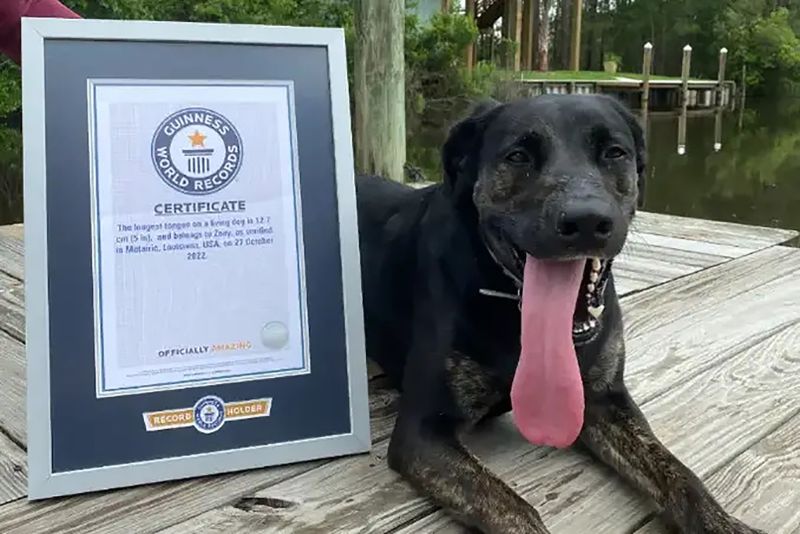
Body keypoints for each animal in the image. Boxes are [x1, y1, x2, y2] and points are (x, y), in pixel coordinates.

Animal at [358, 94, 768, 532]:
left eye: (614, 152)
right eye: (518, 155)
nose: (586, 220)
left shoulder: (605, 399)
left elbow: (677, 472)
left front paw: (722, 522)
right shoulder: (423, 430)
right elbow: (511, 507)